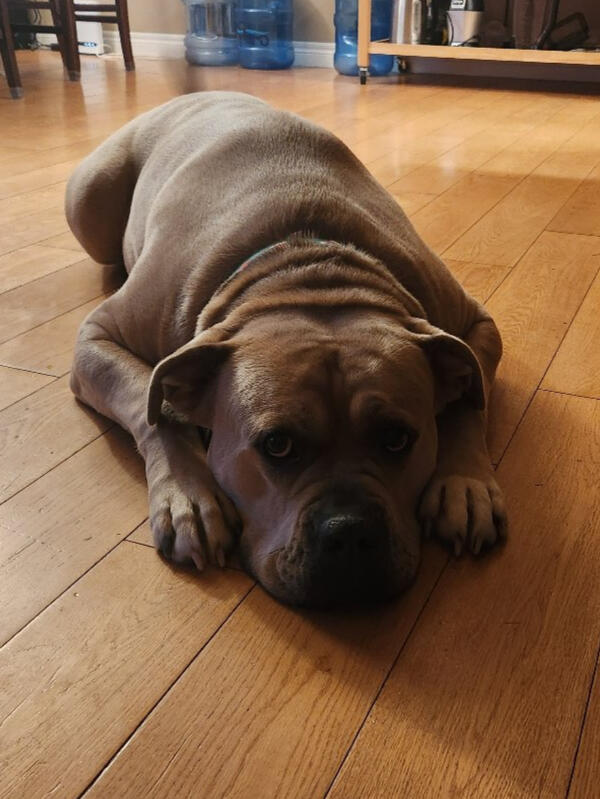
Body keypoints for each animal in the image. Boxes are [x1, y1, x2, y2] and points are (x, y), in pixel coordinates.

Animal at [67, 91, 506, 607]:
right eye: (276, 445)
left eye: (398, 438)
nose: (350, 532)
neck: (308, 277)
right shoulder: (97, 337)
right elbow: (154, 408)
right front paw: (192, 496)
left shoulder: (475, 326)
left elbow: (469, 399)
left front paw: (465, 484)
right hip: (90, 201)